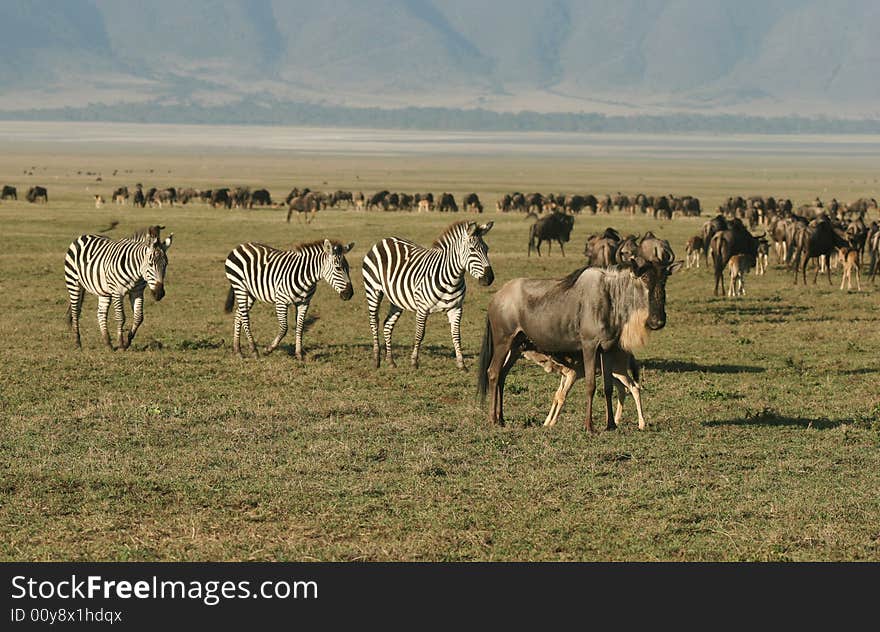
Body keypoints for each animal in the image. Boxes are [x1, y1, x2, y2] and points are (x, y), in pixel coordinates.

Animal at [222, 238, 356, 358]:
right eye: (338, 268)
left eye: (348, 268)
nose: (349, 294)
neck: (306, 277)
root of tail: (241, 245)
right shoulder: (281, 301)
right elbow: (284, 328)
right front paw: (269, 349)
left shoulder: (304, 303)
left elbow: (300, 328)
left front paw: (299, 354)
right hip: (240, 286)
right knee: (245, 317)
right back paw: (254, 350)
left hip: (251, 293)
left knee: (238, 314)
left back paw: (237, 350)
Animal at [360, 221, 496, 370]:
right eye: (472, 250)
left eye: (487, 249)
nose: (489, 278)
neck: (452, 279)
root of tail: (384, 240)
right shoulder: (422, 308)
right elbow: (419, 334)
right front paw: (414, 362)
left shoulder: (456, 308)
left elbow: (456, 335)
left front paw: (461, 364)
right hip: (373, 290)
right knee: (374, 322)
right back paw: (376, 360)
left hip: (396, 299)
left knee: (387, 324)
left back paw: (390, 361)